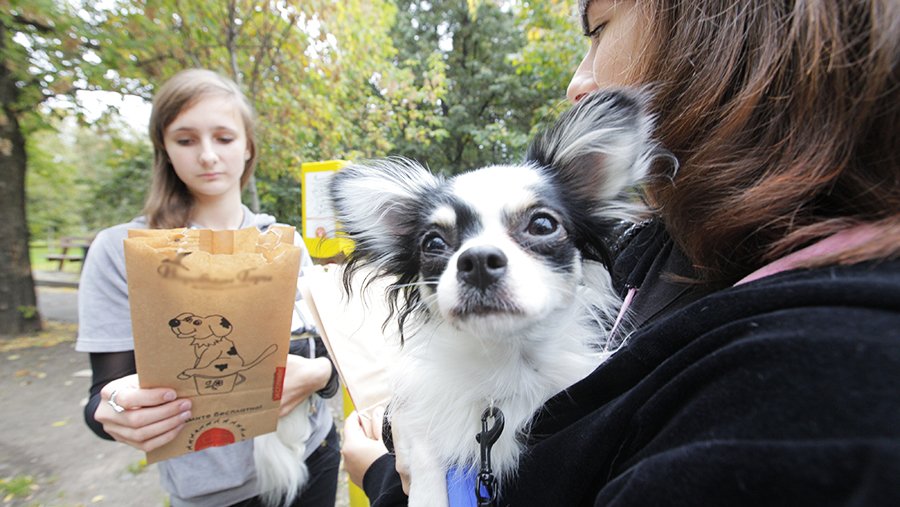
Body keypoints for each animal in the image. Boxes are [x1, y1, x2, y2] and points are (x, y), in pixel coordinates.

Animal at [330, 90, 660, 504]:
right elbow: (425, 455)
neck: (503, 359)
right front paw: (428, 494)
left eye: (542, 224)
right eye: (433, 243)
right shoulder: (418, 415)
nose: (477, 262)